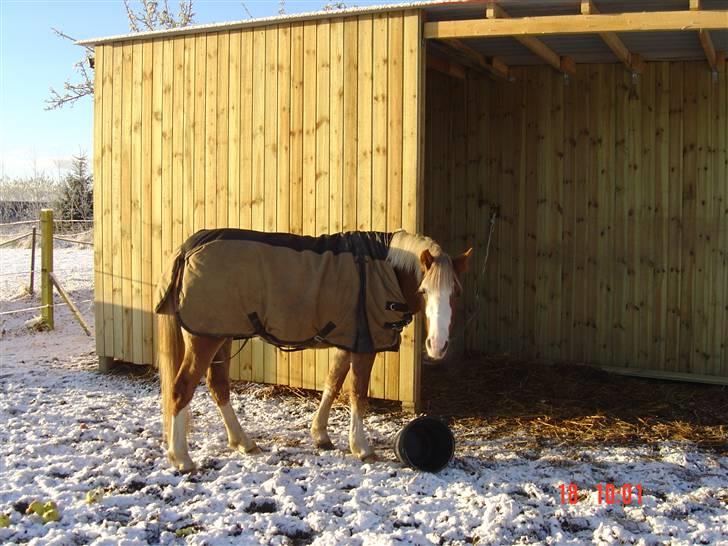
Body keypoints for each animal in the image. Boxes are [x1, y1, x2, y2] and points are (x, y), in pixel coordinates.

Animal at [155, 228, 471, 472]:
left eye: (456, 292)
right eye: (423, 291)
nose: (437, 345)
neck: (381, 268)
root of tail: (188, 249)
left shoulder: (349, 340)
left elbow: (332, 383)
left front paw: (320, 435)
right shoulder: (364, 346)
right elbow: (358, 394)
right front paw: (361, 447)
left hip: (220, 334)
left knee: (218, 386)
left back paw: (242, 442)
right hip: (205, 340)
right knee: (181, 389)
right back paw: (182, 458)